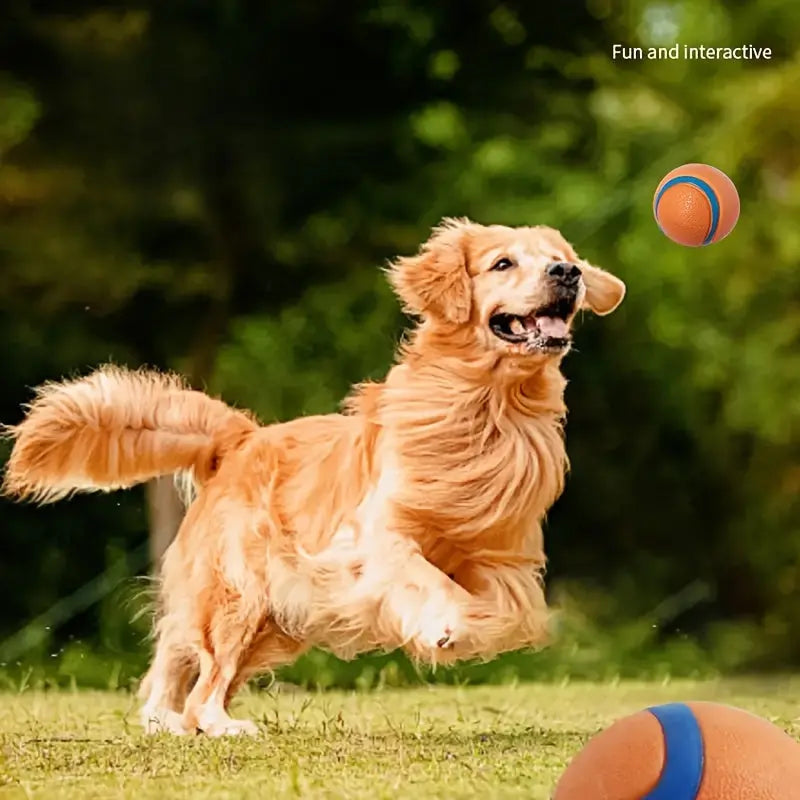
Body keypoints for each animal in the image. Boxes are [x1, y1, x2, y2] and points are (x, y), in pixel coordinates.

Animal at [1, 219, 624, 736]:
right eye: (502, 263)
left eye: (561, 257)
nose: (567, 274)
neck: (491, 407)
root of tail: (242, 440)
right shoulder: (374, 540)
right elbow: (428, 576)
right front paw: (444, 624)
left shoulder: (506, 560)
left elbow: (513, 615)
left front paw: (458, 631)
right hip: (241, 596)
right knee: (204, 686)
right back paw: (222, 726)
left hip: (271, 621)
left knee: (179, 662)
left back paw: (165, 719)